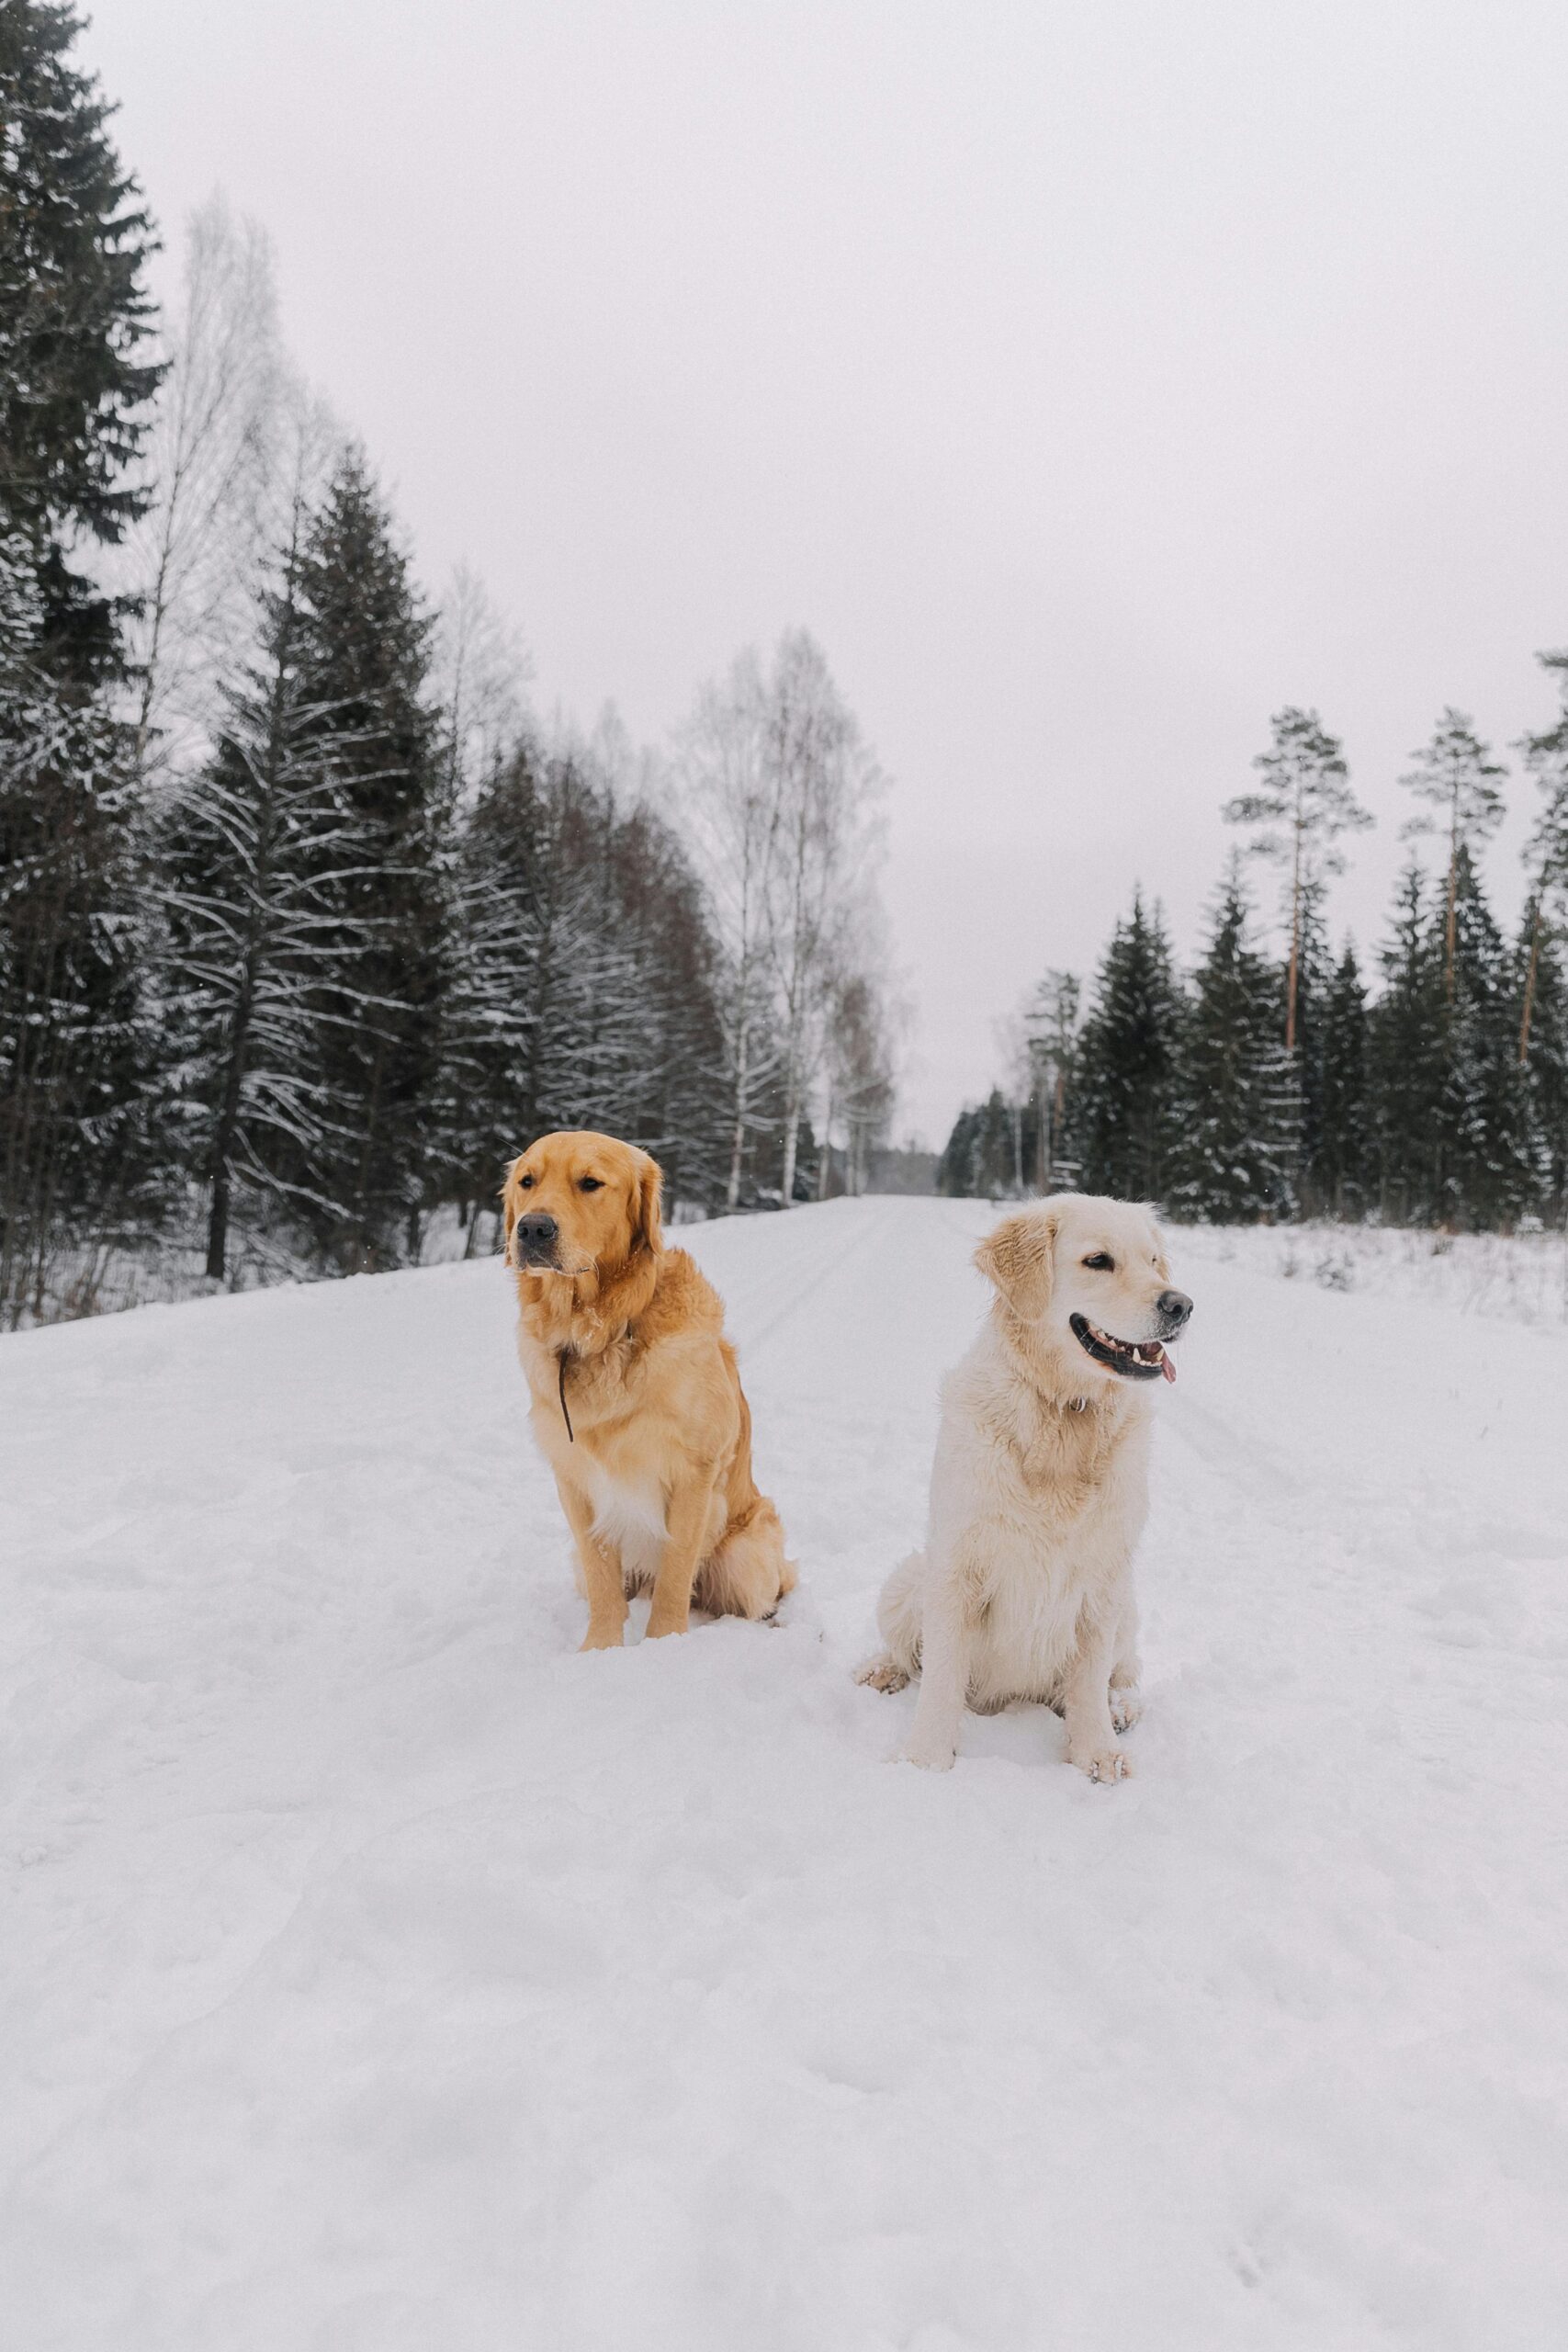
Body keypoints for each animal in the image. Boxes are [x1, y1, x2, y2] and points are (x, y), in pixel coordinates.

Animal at [505, 1128, 799, 1646]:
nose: (532, 1229)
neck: (604, 1330)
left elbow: (677, 1570)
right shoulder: (574, 1480)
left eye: (590, 1183)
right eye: (527, 1181)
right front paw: (600, 1649)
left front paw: (664, 1646)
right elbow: (601, 1573)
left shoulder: (694, 1473)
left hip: (746, 1552)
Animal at [860, 1204, 1189, 1769]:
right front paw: (926, 1759)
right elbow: (942, 1674)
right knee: (907, 1654)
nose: (1182, 1305)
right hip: (906, 1581)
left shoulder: (1104, 1576)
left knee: (1124, 1672)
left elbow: (1089, 1679)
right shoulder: (958, 1563)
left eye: (1153, 1261)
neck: (1063, 1412)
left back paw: (1122, 1709)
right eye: (1098, 1261)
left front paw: (1097, 1754)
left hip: (1128, 1604)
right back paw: (880, 1670)